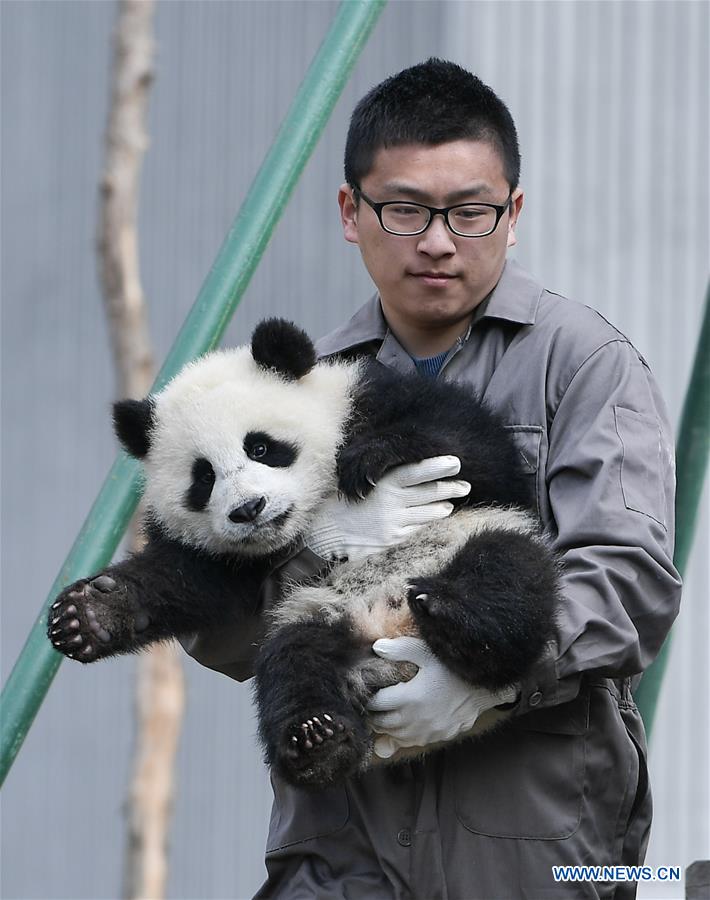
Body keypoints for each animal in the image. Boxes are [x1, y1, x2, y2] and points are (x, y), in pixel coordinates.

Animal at [48, 318, 559, 788]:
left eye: (260, 447)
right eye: (204, 477)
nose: (249, 509)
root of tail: (390, 645)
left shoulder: (372, 398)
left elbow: (475, 452)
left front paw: (370, 457)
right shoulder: (227, 558)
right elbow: (190, 577)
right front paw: (88, 614)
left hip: (477, 537)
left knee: (505, 575)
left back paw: (455, 616)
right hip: (313, 615)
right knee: (293, 666)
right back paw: (319, 741)